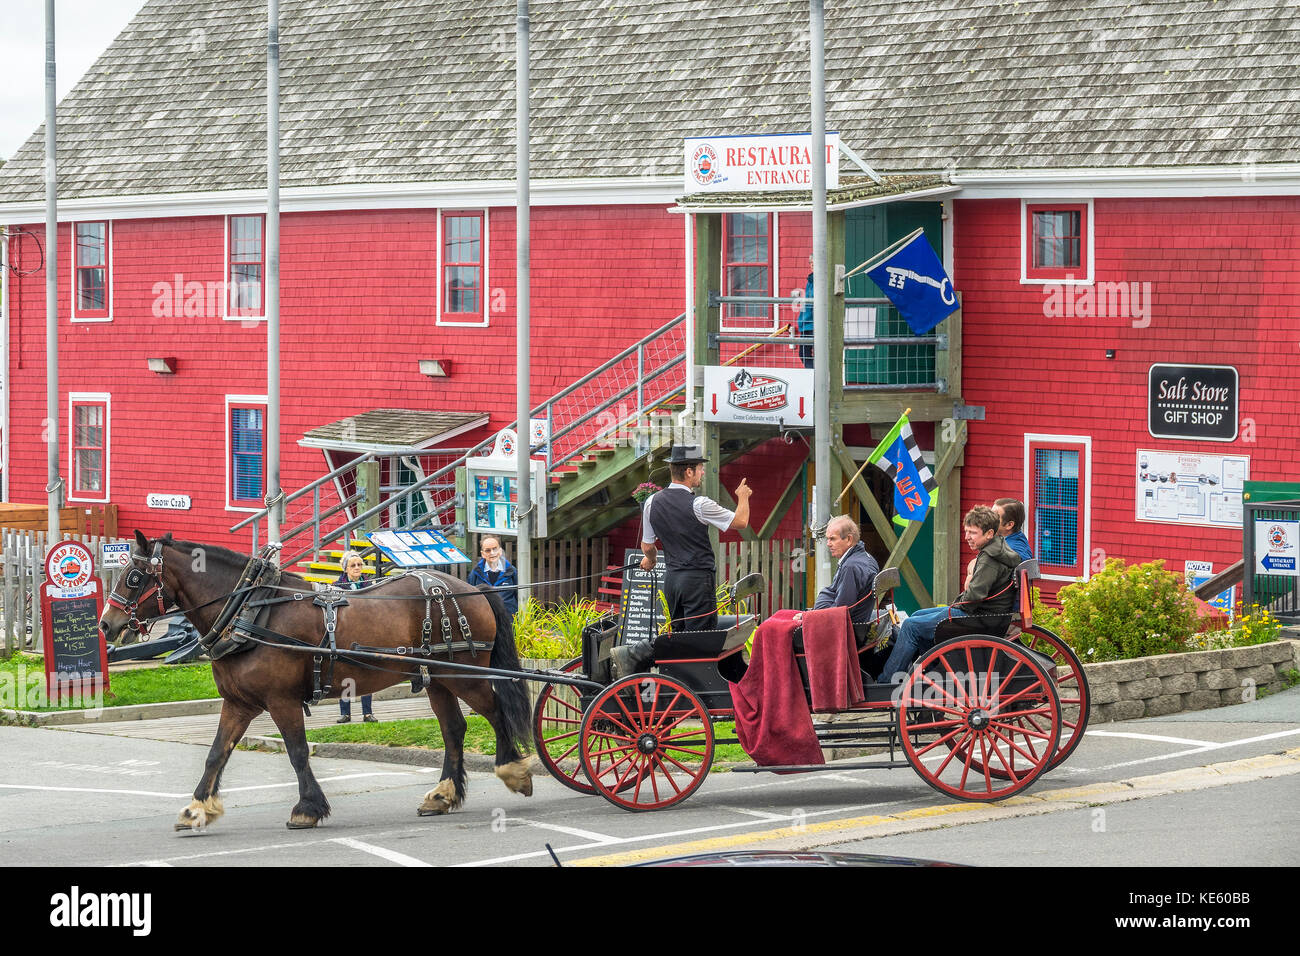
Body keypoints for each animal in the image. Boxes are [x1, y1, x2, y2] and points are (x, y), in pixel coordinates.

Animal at [94, 530, 533, 832]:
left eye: (134, 577)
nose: (105, 624)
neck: (251, 609)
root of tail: (472, 588)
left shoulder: (281, 700)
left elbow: (297, 752)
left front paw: (307, 809)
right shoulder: (239, 703)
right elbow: (216, 754)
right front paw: (197, 808)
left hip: (467, 674)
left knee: (497, 713)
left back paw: (514, 770)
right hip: (439, 678)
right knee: (454, 729)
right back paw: (442, 795)